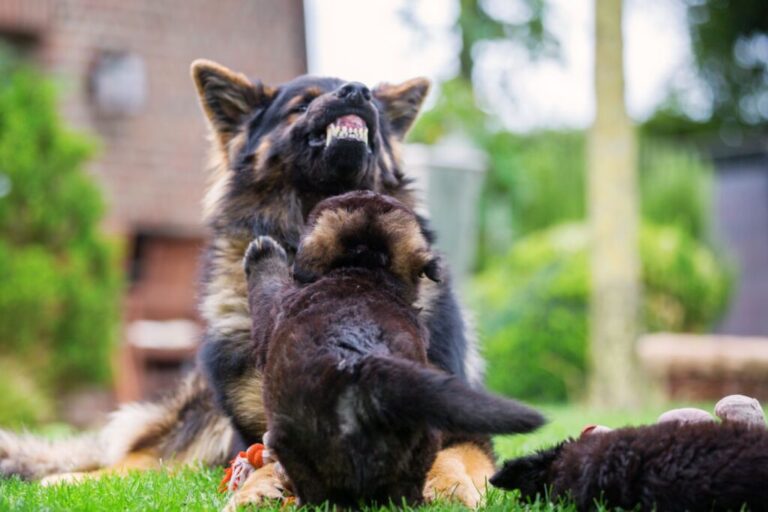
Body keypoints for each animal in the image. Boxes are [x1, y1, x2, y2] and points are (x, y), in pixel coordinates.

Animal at [0, 60, 498, 508]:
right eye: (302, 104)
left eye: (370, 99)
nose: (358, 92)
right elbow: (267, 456)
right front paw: (257, 488)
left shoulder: (460, 421)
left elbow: (455, 454)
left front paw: (449, 486)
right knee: (139, 460)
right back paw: (65, 480)